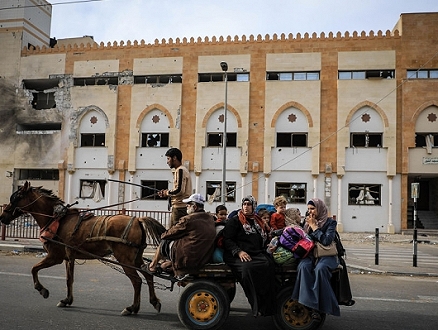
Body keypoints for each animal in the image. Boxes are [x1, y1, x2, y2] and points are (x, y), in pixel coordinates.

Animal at [0, 182, 167, 316]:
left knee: (137, 281)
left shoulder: (55, 256)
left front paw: (42, 290)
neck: (57, 219)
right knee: (148, 275)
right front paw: (67, 300)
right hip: (136, 258)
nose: (2, 217)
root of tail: (138, 219)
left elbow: (34, 269)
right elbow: (69, 279)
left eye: (16, 197)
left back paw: (132, 308)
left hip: (125, 259)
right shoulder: (69, 257)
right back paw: (154, 302)